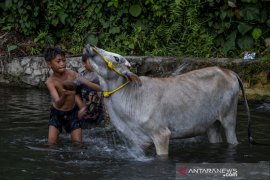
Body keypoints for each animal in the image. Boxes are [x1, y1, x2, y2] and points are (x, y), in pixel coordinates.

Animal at [83, 44, 253, 156]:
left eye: (116, 57)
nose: (89, 46)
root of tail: (229, 71)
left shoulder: (161, 134)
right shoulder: (139, 141)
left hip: (228, 117)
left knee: (232, 138)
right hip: (212, 124)